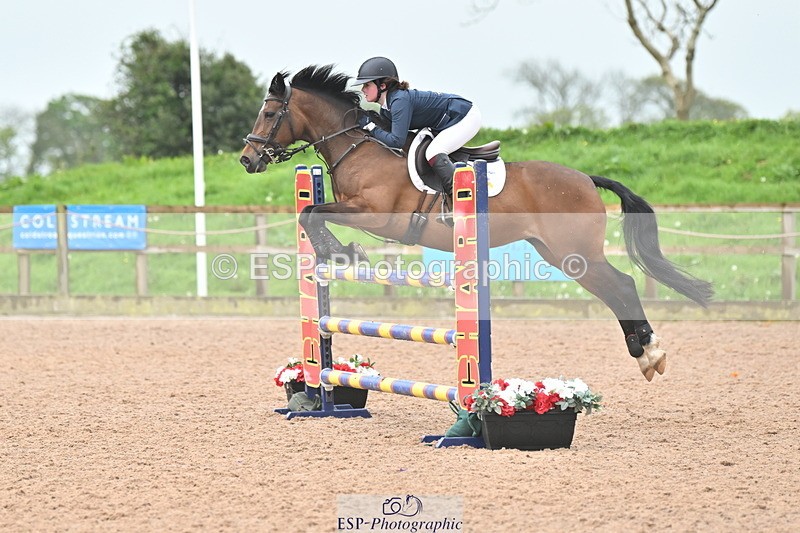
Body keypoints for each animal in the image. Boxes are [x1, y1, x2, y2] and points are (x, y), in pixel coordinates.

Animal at [239, 64, 713, 381]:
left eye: (270, 114)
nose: (247, 159)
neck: (357, 147)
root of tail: (585, 177)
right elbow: (311, 213)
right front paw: (339, 252)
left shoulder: (377, 214)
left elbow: (311, 212)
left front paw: (341, 252)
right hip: (559, 255)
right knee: (615, 290)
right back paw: (646, 352)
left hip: (575, 253)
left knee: (623, 286)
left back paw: (650, 354)